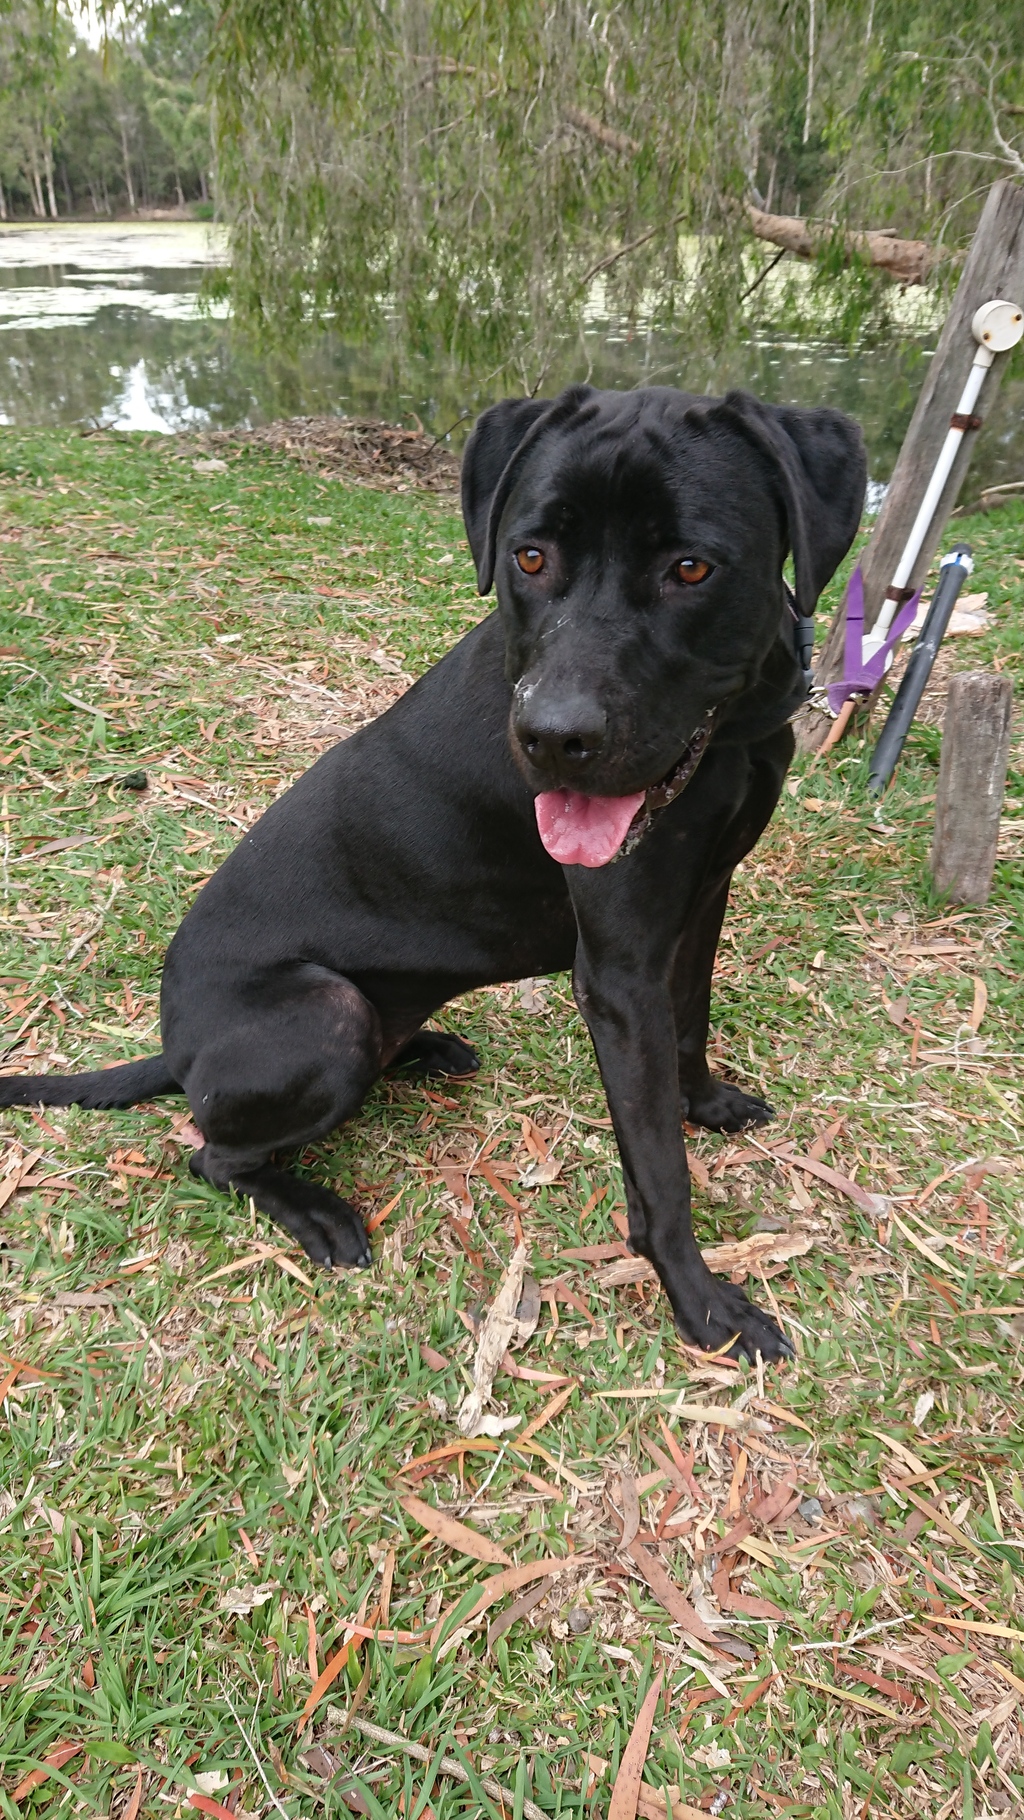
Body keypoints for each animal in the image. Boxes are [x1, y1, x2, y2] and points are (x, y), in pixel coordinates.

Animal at [0, 384, 865, 1361]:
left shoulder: (700, 903)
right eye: (530, 556)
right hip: (325, 1014)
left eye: (691, 568)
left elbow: (693, 1024)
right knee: (210, 1153)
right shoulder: (619, 971)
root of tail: (176, 1049)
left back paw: (423, 1048)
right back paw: (315, 1208)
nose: (553, 740)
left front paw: (706, 1104)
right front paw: (701, 1302)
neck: (730, 733)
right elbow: (656, 1167)